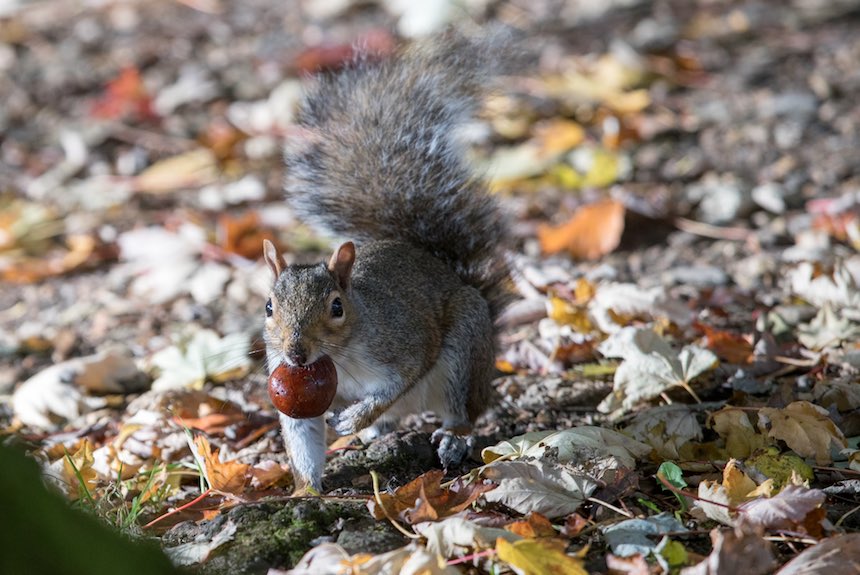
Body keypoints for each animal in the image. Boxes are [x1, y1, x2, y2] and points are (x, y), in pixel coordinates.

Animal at [262, 28, 512, 496]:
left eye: (336, 306)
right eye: (269, 307)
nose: (296, 353)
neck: (337, 358)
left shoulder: (403, 343)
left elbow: (395, 384)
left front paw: (358, 416)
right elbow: (302, 439)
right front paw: (304, 491)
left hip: (464, 353)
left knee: (462, 413)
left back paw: (450, 438)